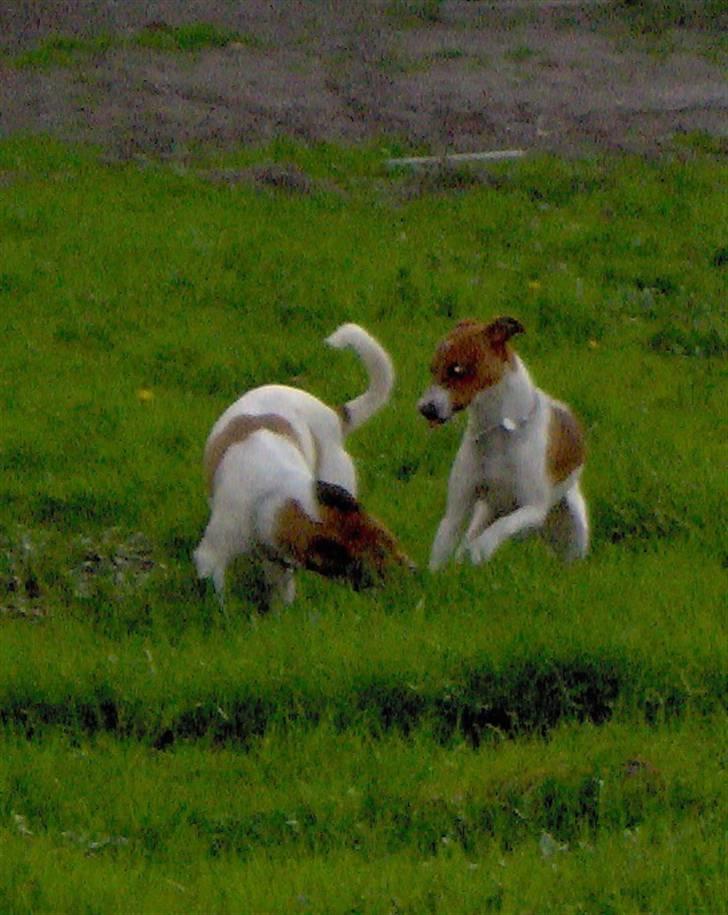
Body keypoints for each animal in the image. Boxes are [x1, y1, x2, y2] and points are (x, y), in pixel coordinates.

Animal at [418, 318, 588, 568]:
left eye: (457, 369)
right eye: (432, 369)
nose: (425, 409)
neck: (500, 431)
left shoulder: (533, 509)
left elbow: (498, 530)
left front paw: (481, 549)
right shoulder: (456, 512)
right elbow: (442, 549)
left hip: (573, 524)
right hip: (484, 513)